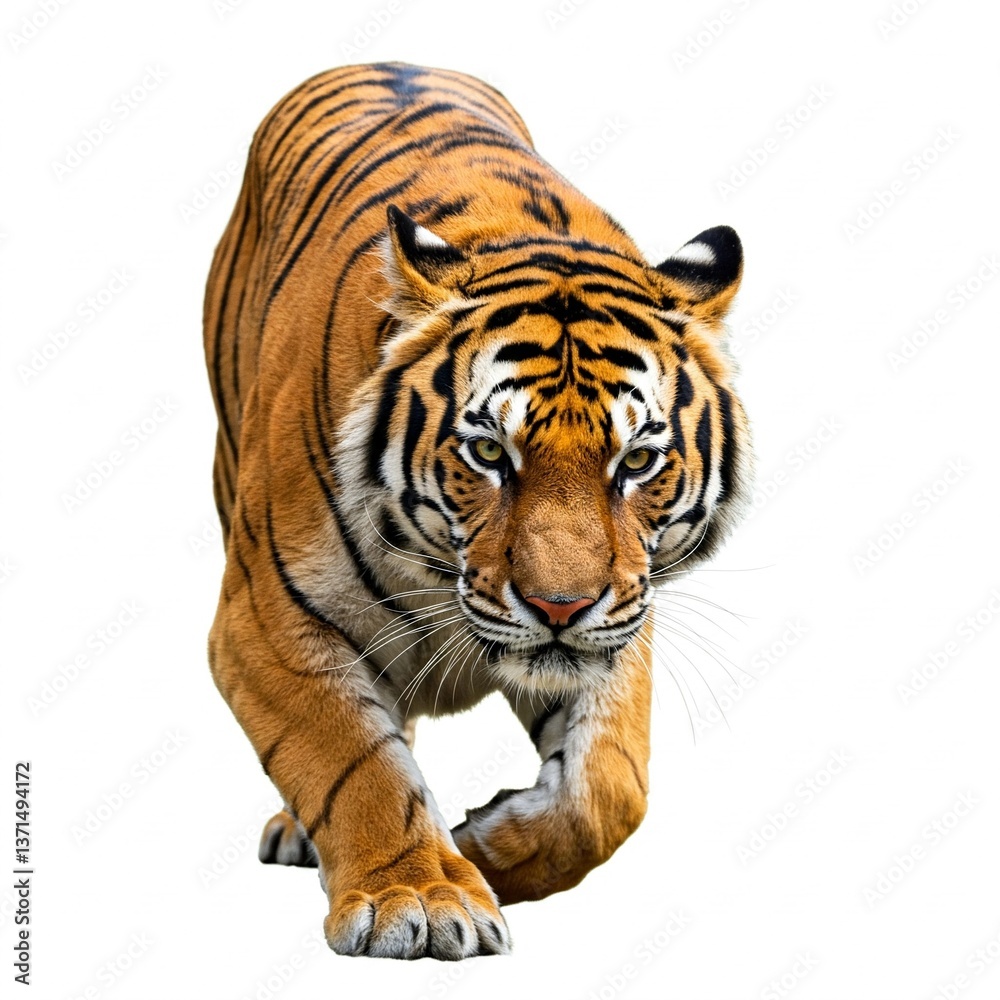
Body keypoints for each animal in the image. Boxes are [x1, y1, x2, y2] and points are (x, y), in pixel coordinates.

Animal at [204, 61, 752, 960]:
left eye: (636, 462)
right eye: (491, 454)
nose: (560, 607)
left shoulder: (621, 617)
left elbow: (610, 789)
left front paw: (484, 846)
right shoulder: (265, 620)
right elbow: (351, 759)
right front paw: (417, 898)